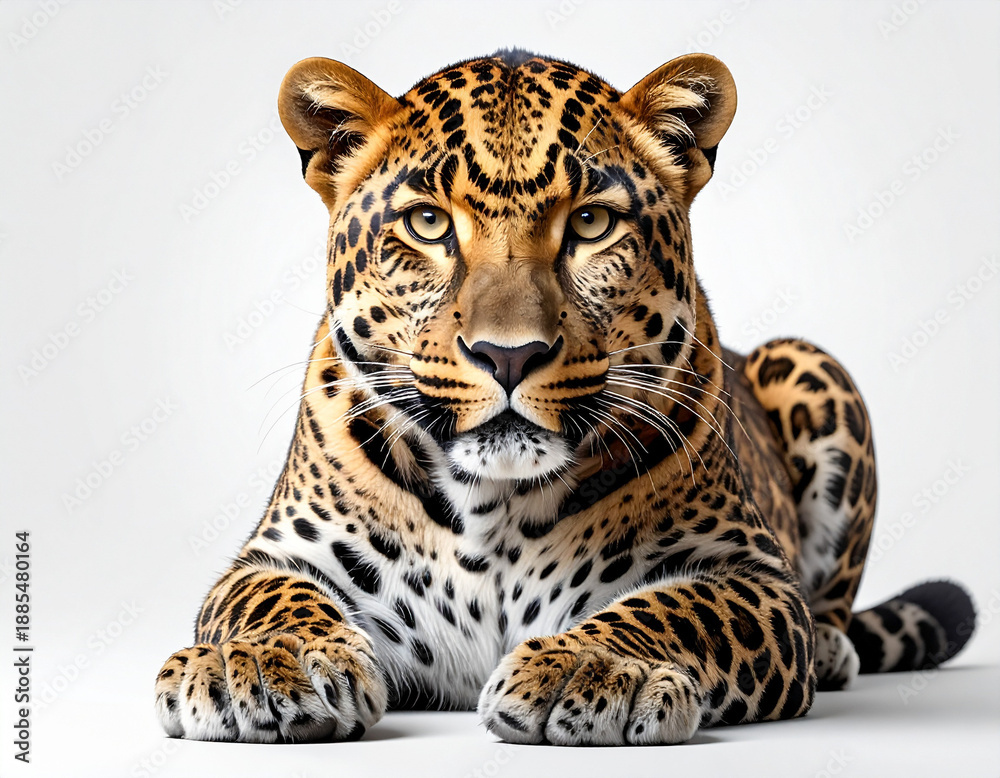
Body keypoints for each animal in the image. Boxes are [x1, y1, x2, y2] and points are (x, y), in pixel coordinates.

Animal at [154, 49, 976, 745]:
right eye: (427, 223)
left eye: (591, 222)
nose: (507, 354)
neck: (492, 504)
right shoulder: (278, 554)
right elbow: (267, 600)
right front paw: (262, 661)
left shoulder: (750, 573)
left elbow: (680, 608)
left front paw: (592, 667)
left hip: (812, 364)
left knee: (828, 603)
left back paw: (835, 648)